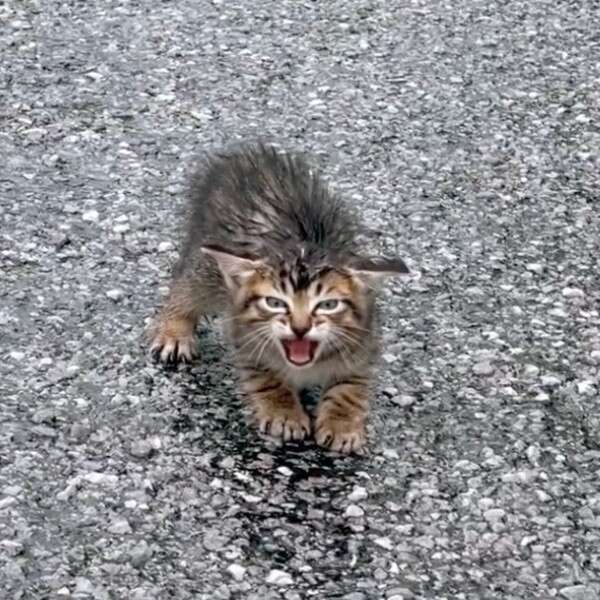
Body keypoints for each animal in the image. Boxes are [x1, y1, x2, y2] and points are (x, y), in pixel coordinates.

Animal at [149, 144, 408, 454]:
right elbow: (266, 377)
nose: (300, 328)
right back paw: (174, 331)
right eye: (275, 303)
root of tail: (244, 156)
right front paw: (284, 412)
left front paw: (341, 423)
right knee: (185, 288)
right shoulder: (244, 335)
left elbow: (351, 386)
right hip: (208, 268)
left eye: (328, 305)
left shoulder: (365, 342)